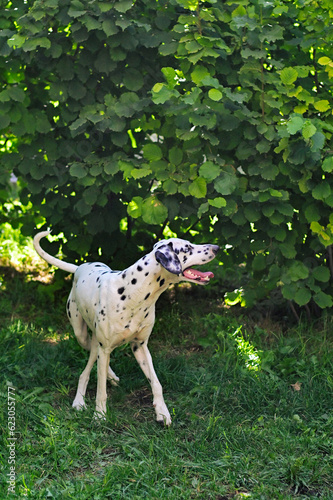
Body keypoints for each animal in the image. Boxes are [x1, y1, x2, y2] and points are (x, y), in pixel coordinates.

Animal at [33, 231, 218, 426]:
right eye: (187, 248)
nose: (217, 248)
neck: (134, 291)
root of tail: (79, 268)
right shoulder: (105, 347)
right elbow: (101, 390)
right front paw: (99, 415)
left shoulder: (140, 346)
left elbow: (156, 383)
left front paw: (162, 412)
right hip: (81, 335)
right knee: (86, 369)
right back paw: (79, 401)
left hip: (97, 341)